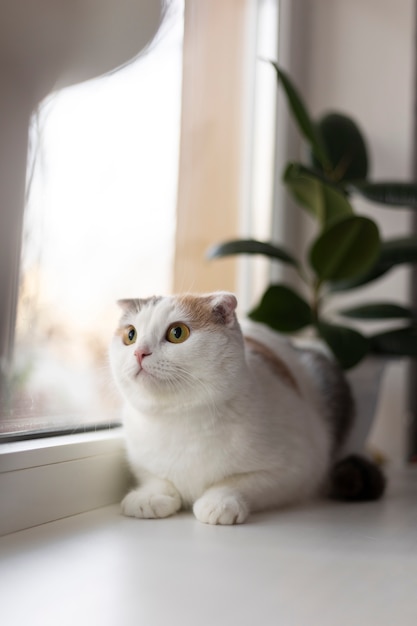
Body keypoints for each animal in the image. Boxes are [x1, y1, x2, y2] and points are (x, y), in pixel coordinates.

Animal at [109, 292, 386, 520]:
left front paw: (219, 503)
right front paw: (149, 496)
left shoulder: (296, 469)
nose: (139, 352)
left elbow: (240, 483)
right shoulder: (142, 460)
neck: (179, 421)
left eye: (177, 333)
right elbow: (155, 477)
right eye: (130, 335)